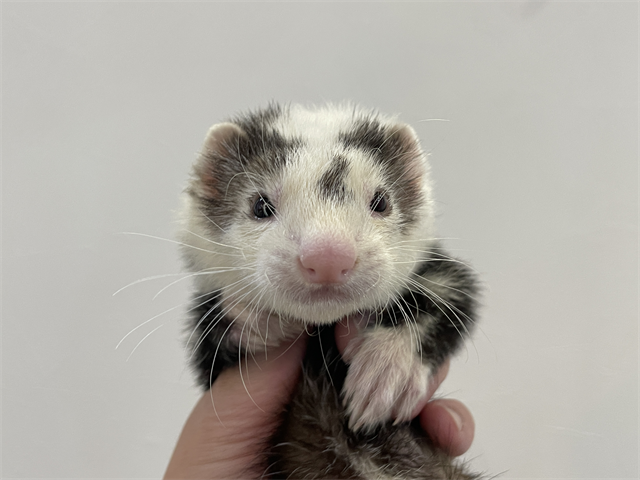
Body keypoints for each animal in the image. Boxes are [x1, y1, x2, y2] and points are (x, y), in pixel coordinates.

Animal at [179, 103, 480, 480]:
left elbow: (446, 294)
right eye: (260, 205)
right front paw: (254, 319)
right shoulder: (208, 366)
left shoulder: (448, 278)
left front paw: (389, 369)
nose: (328, 256)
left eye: (381, 200)